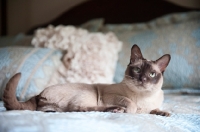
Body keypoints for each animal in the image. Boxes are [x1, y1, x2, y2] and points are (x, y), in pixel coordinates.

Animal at [2, 44, 170, 116]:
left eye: (152, 74)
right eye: (137, 70)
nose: (143, 79)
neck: (144, 97)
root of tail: (38, 94)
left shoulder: (150, 106)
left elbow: (155, 110)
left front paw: (163, 113)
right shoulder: (112, 96)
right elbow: (131, 104)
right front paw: (130, 111)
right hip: (90, 93)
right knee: (78, 109)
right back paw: (115, 110)